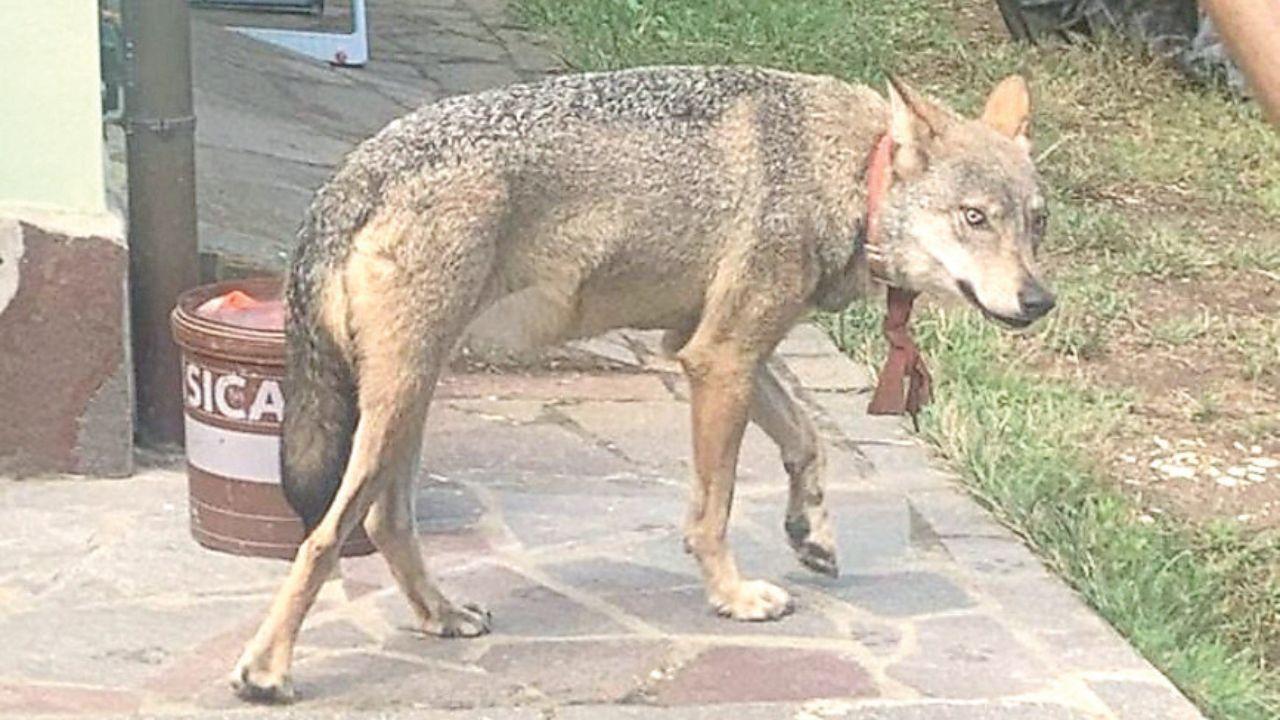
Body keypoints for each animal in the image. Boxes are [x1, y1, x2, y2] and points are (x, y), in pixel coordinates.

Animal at [231, 65, 1055, 701]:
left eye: (1036, 224)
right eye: (975, 218)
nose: (1040, 300)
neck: (850, 172)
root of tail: (355, 170)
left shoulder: (709, 348)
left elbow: (807, 439)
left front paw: (811, 532)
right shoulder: (720, 358)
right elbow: (714, 512)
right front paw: (733, 597)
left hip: (412, 398)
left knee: (386, 523)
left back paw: (441, 615)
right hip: (397, 405)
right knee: (324, 539)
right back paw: (266, 672)